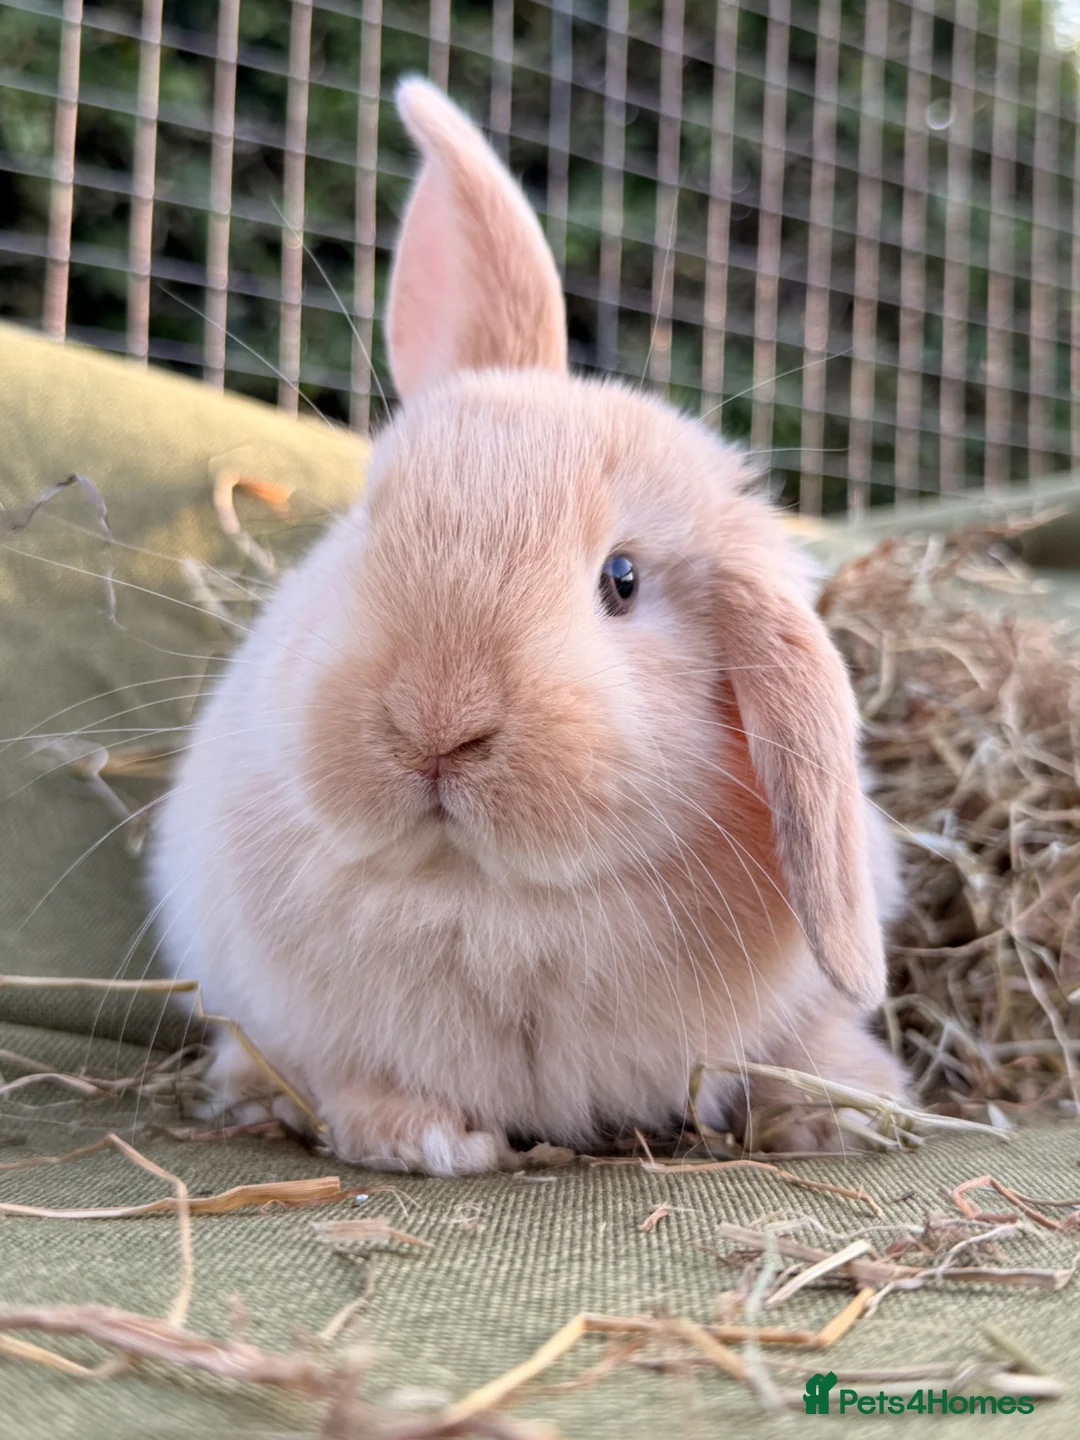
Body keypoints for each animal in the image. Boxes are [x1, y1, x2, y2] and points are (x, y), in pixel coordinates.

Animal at [150, 77, 907, 1175]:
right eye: (370, 521)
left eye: (622, 580)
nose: (435, 722)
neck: (494, 898)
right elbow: (359, 1075)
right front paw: (423, 1139)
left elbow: (796, 1045)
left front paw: (842, 1111)